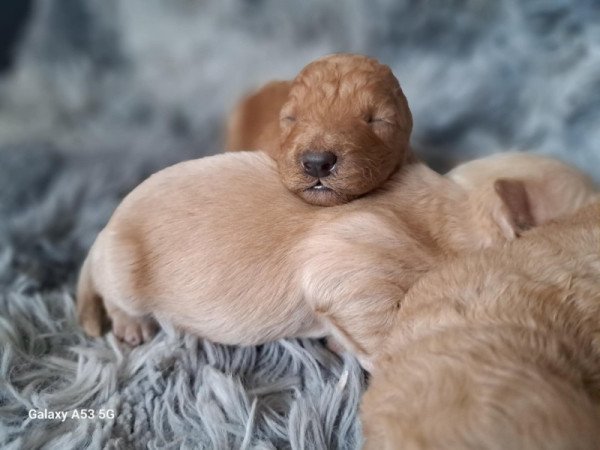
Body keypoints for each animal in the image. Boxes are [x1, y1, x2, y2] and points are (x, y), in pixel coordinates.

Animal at [76, 150, 596, 370]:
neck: (458, 206)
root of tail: (99, 238)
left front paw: (337, 345)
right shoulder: (351, 262)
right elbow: (379, 326)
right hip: (124, 270)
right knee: (117, 300)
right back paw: (131, 327)